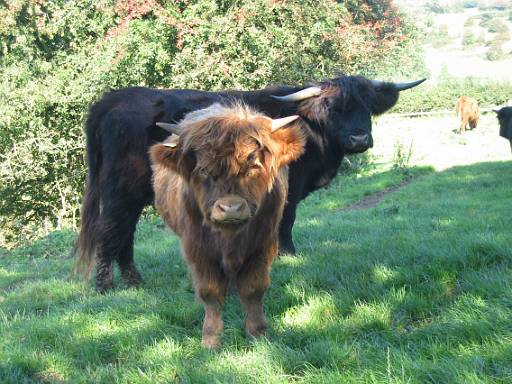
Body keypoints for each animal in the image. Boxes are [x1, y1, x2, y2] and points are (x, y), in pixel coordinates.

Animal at [75, 74, 424, 292]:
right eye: (332, 107)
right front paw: (288, 255)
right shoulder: (289, 186)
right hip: (120, 189)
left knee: (125, 232)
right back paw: (105, 286)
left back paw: (134, 281)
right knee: (111, 230)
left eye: (367, 107)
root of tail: (112, 99)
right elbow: (286, 221)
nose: (359, 139)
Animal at [150, 103, 306, 348]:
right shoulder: (197, 249)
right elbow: (210, 291)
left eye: (253, 165)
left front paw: (258, 333)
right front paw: (210, 339)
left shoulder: (262, 245)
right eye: (203, 170)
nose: (231, 208)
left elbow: (253, 288)